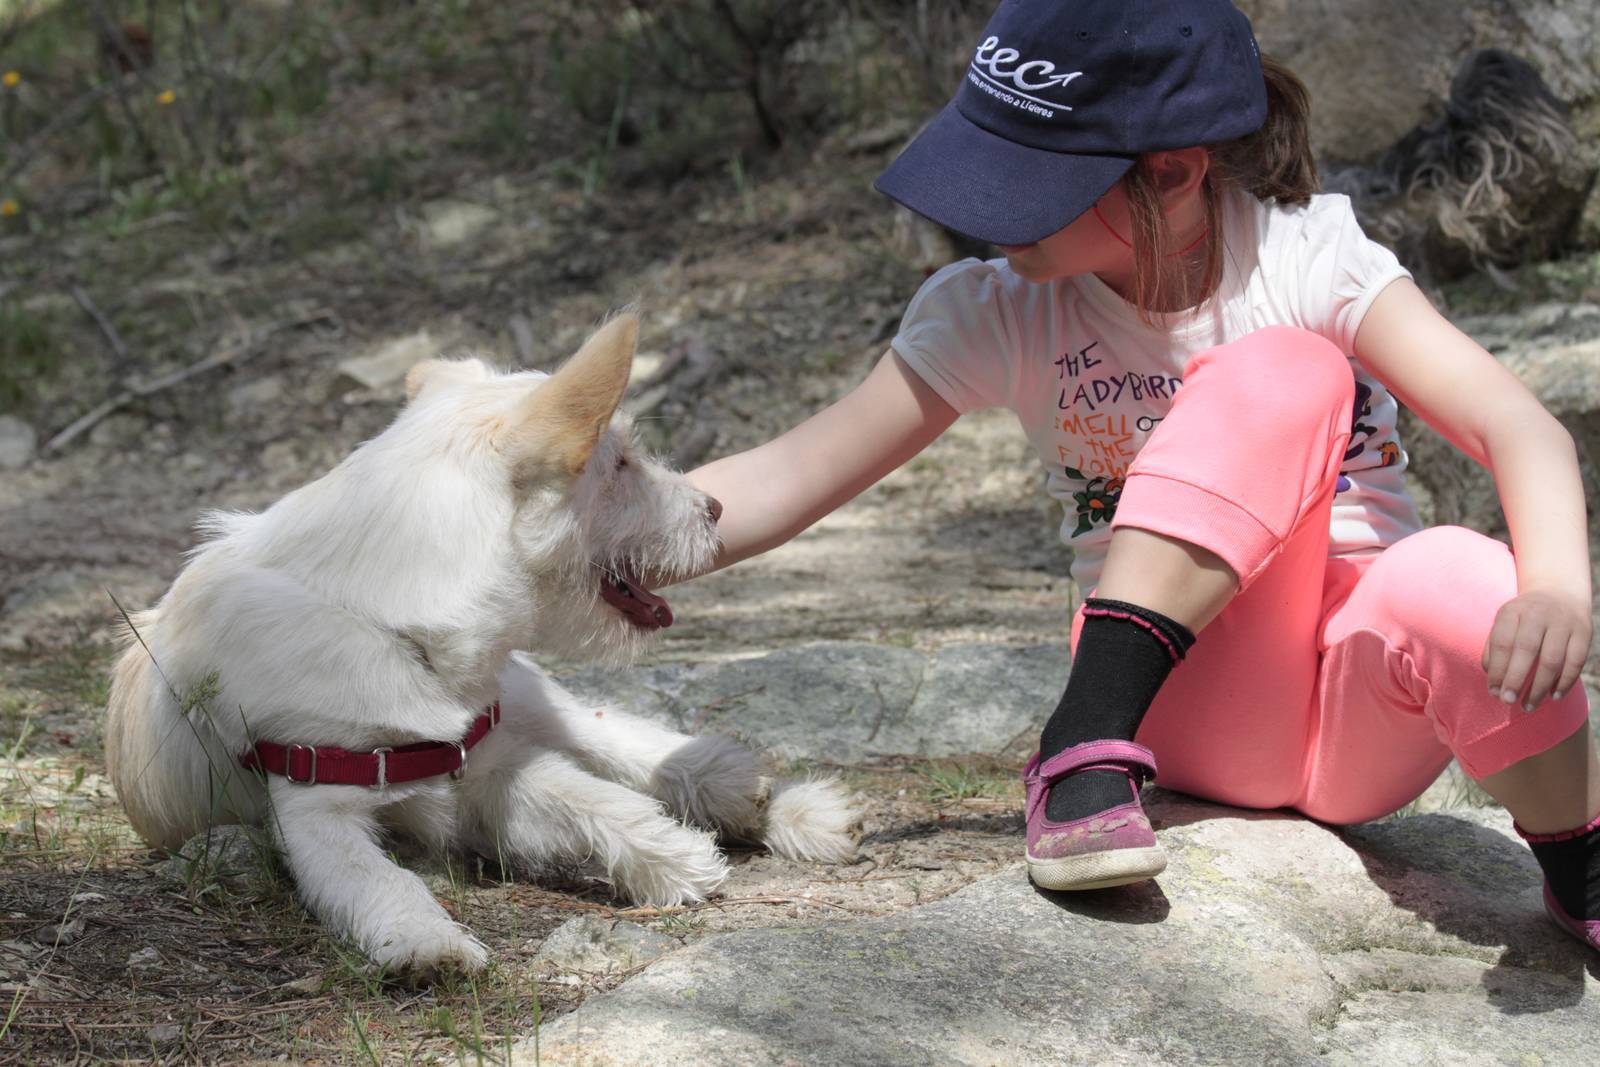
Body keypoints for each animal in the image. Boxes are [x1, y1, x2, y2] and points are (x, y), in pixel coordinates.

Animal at [104, 313, 859, 974]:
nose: (716, 509)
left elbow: (592, 796)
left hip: (532, 697)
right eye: (618, 463)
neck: (387, 620)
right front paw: (424, 941)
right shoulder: (319, 809)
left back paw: (771, 799)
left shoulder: (489, 764)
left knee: (622, 743)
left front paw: (673, 856)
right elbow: (376, 877)